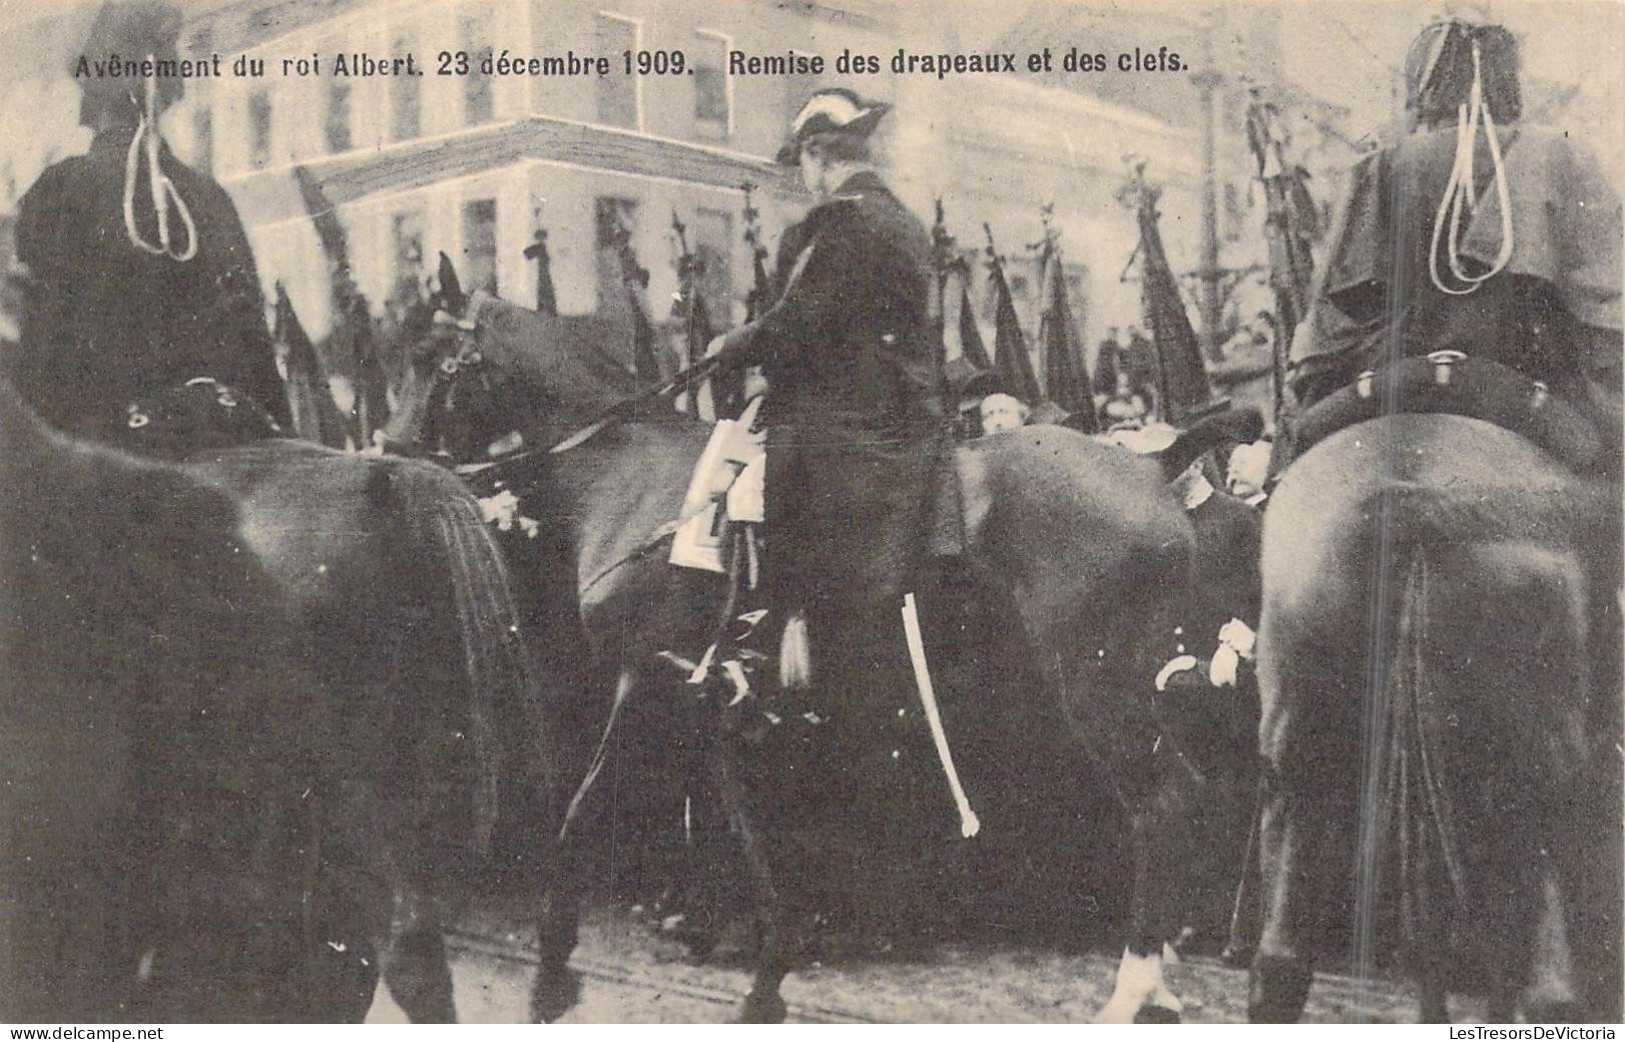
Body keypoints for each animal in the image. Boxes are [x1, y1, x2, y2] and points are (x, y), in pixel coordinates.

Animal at [383, 289, 1267, 1020]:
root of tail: (1150, 462)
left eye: (433, 358)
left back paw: (1135, 990)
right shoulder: (705, 690)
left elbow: (583, 804)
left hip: (1095, 685)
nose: (388, 450)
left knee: (1162, 805)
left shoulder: (643, 674)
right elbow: (739, 819)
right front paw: (767, 972)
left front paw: (551, 972)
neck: (633, 474)